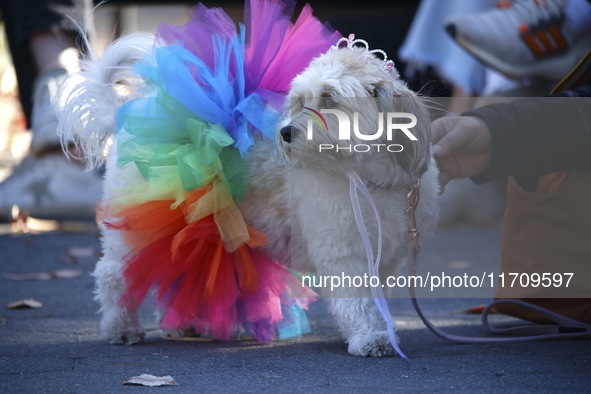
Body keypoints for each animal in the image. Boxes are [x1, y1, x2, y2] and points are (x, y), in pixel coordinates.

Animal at [60, 33, 440, 358]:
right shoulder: (343, 252)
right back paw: (120, 328)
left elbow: (378, 300)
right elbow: (358, 302)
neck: (366, 176)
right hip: (137, 228)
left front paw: (380, 332)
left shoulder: (385, 257)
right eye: (299, 101)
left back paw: (183, 324)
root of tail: (128, 115)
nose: (286, 132)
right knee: (114, 276)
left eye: (330, 98)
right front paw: (370, 337)